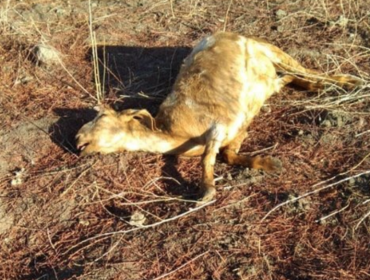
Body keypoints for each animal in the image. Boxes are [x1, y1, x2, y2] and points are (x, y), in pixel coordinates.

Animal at [75, 31, 362, 202]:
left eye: (101, 117)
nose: (77, 140)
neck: (170, 133)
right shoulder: (235, 131)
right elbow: (228, 155)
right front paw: (269, 164)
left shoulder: (218, 126)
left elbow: (207, 158)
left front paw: (206, 190)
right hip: (270, 80)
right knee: (292, 78)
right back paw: (317, 87)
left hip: (273, 52)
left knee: (310, 71)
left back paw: (351, 82)